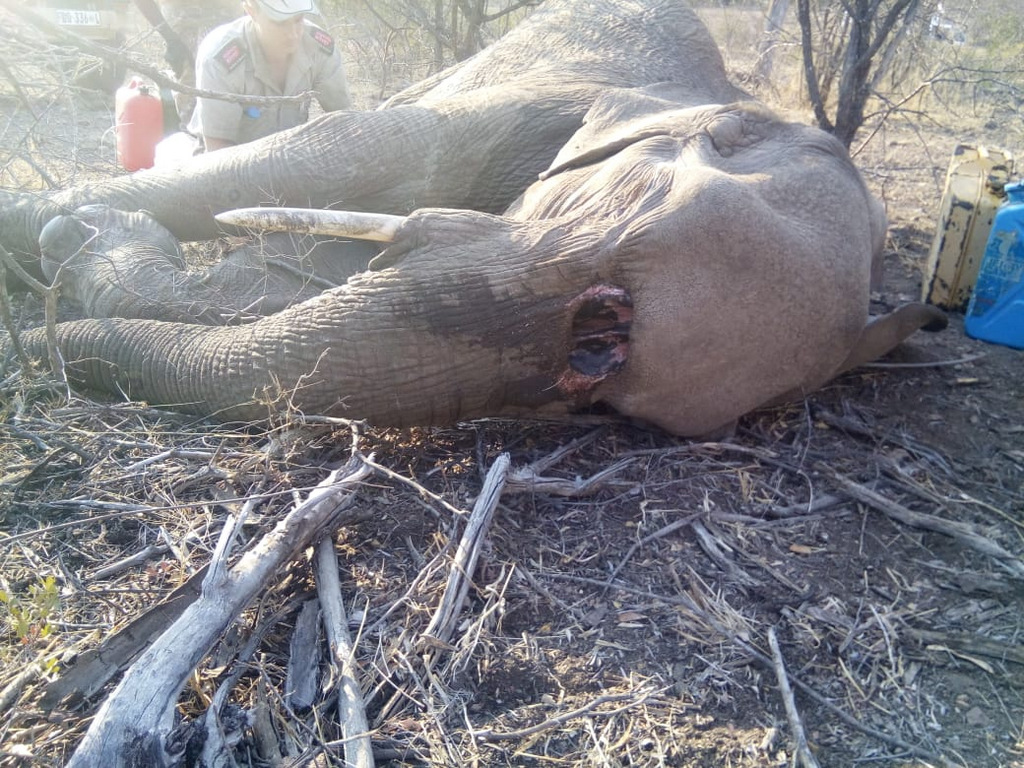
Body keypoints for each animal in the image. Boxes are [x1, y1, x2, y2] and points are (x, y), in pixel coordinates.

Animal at [0, 0, 942, 438]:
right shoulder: (535, 108)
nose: (37, 349)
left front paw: (76, 248)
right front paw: (50, 234)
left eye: (609, 383)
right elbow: (332, 153)